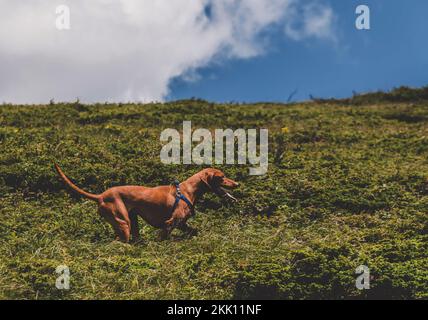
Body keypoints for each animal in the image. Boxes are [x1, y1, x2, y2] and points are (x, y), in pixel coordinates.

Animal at [54, 165, 237, 242]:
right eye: (222, 177)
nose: (236, 183)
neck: (188, 190)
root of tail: (100, 196)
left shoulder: (182, 224)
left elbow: (193, 231)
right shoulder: (170, 222)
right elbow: (163, 238)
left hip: (131, 220)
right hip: (124, 222)